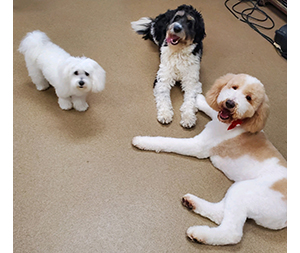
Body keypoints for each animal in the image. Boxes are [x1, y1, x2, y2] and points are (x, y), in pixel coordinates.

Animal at [132, 73, 288, 245]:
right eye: (234, 87)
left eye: (249, 98)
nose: (230, 103)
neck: (235, 124)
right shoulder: (218, 117)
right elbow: (213, 110)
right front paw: (200, 99)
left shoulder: (198, 146)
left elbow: (168, 142)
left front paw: (143, 141)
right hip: (238, 191)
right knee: (220, 214)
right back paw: (192, 203)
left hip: (246, 191)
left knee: (232, 233)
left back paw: (199, 233)